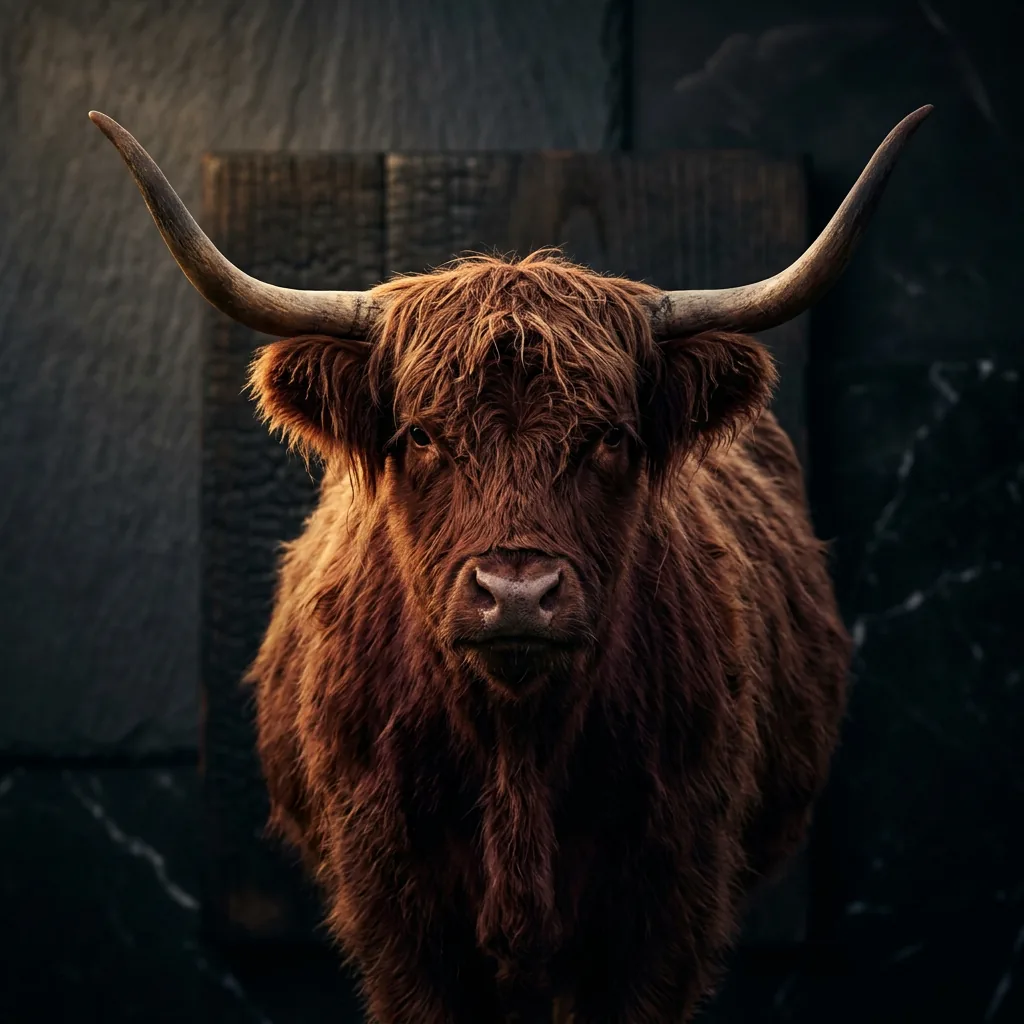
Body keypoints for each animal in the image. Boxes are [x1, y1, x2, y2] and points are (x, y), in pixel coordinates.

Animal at [91, 106, 931, 1023]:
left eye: (609, 436)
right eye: (422, 435)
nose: (518, 594)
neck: (516, 744)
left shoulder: (666, 903)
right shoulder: (396, 913)